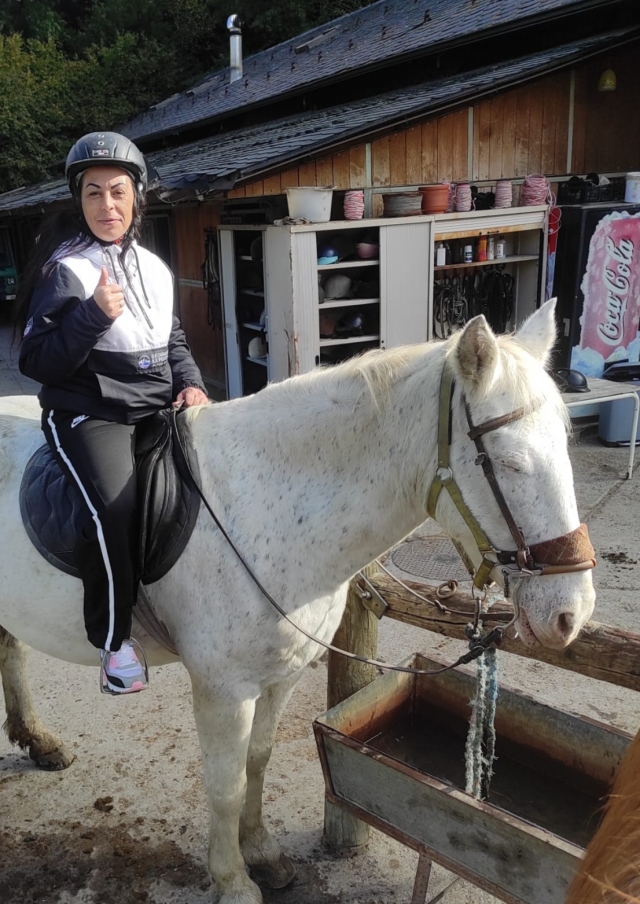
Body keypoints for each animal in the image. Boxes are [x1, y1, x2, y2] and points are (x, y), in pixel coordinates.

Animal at [0, 300, 596, 904]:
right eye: (511, 463)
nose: (571, 613)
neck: (262, 505)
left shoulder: (279, 676)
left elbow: (257, 762)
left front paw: (262, 854)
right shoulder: (224, 690)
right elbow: (226, 784)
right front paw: (233, 881)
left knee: (10, 651)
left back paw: (38, 741)